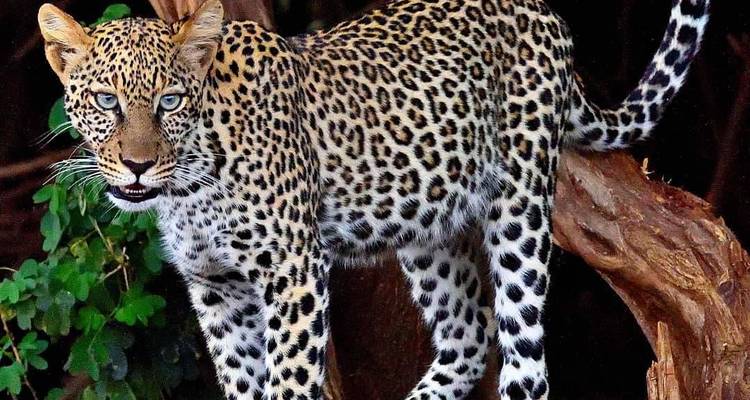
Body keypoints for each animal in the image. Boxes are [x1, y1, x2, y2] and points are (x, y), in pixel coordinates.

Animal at [38, 0, 710, 399]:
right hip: (426, 224)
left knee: (524, 356)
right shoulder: (216, 288)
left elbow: (288, 382)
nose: (137, 165)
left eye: (169, 101)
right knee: (467, 334)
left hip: (520, 203)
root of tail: (542, 9)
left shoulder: (293, 274)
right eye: (105, 101)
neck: (188, 187)